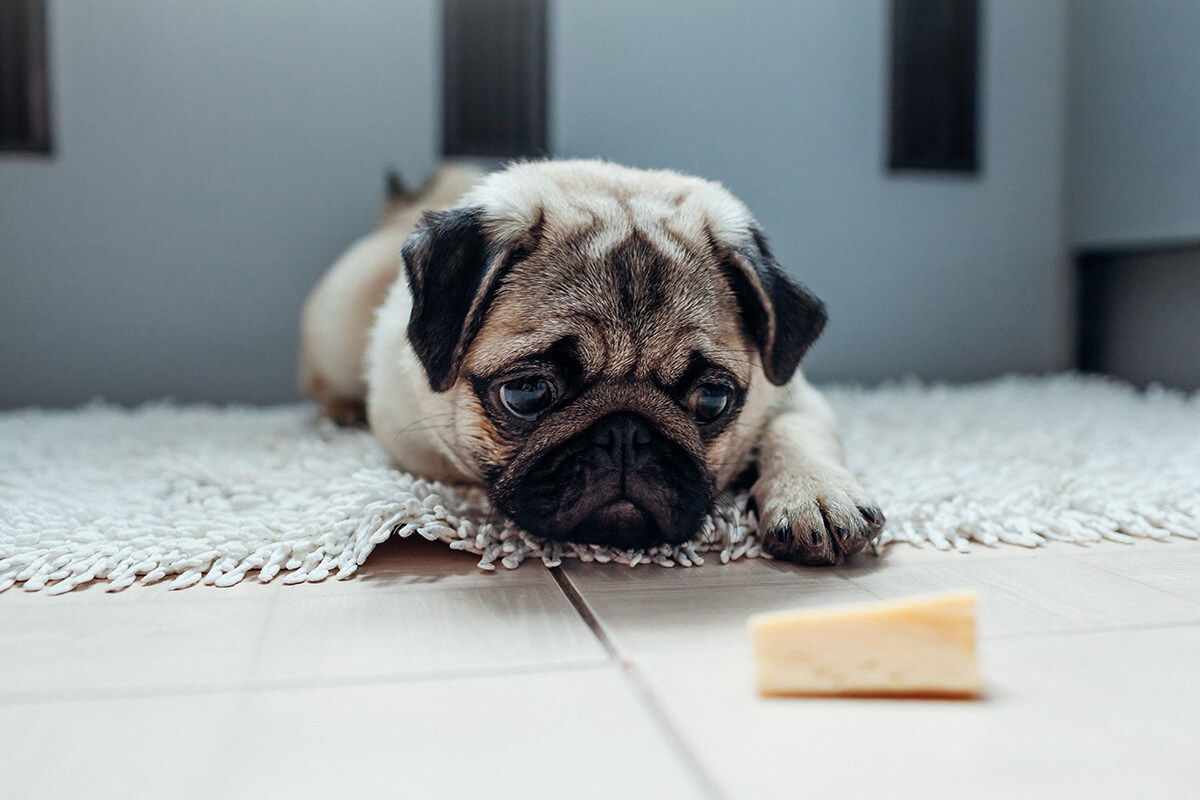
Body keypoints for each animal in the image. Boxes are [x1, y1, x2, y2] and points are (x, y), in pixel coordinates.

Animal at [300, 160, 883, 563]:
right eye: (527, 393)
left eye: (712, 400)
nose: (625, 434)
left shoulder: (792, 391)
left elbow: (794, 432)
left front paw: (816, 495)